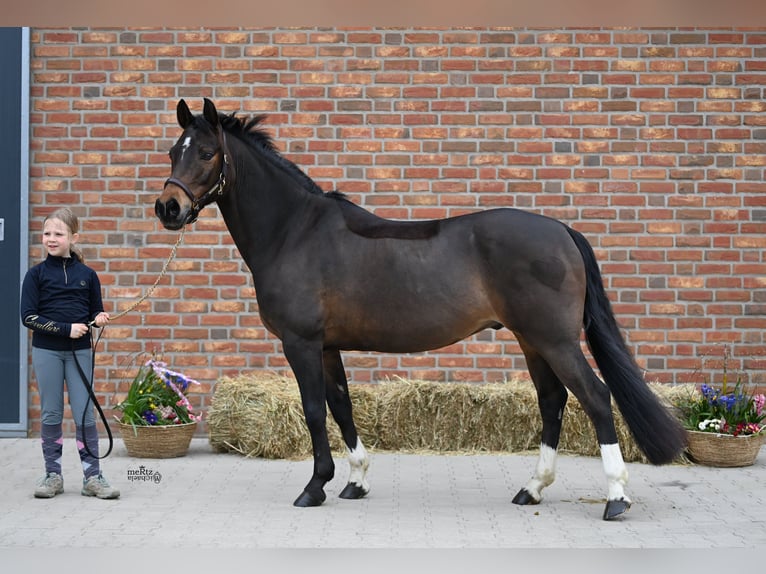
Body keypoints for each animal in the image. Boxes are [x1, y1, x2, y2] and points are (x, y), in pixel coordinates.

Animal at [154, 98, 686, 521]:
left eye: (206, 152)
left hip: (555, 341)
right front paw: (355, 481)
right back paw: (532, 490)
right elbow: (341, 406)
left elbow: (312, 410)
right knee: (552, 402)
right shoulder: (326, 347)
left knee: (595, 398)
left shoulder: (300, 344)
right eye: (173, 151)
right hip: (533, 341)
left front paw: (314, 486)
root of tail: (563, 231)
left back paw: (616, 499)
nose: (168, 209)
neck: (294, 232)